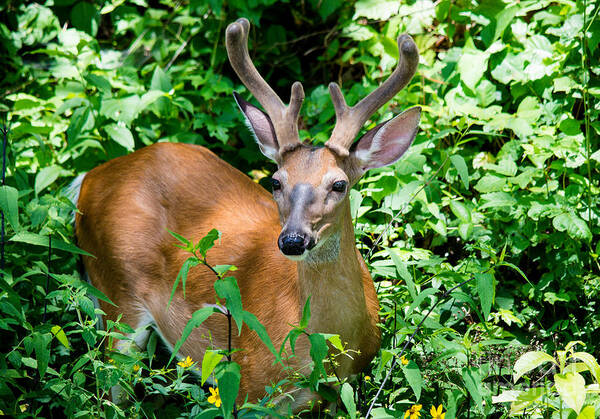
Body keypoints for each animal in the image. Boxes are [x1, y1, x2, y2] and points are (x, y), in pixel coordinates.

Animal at [74, 17, 422, 414]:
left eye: (339, 184)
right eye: (275, 181)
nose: (292, 240)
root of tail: (91, 177)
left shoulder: (344, 389)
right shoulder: (248, 384)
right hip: (116, 296)